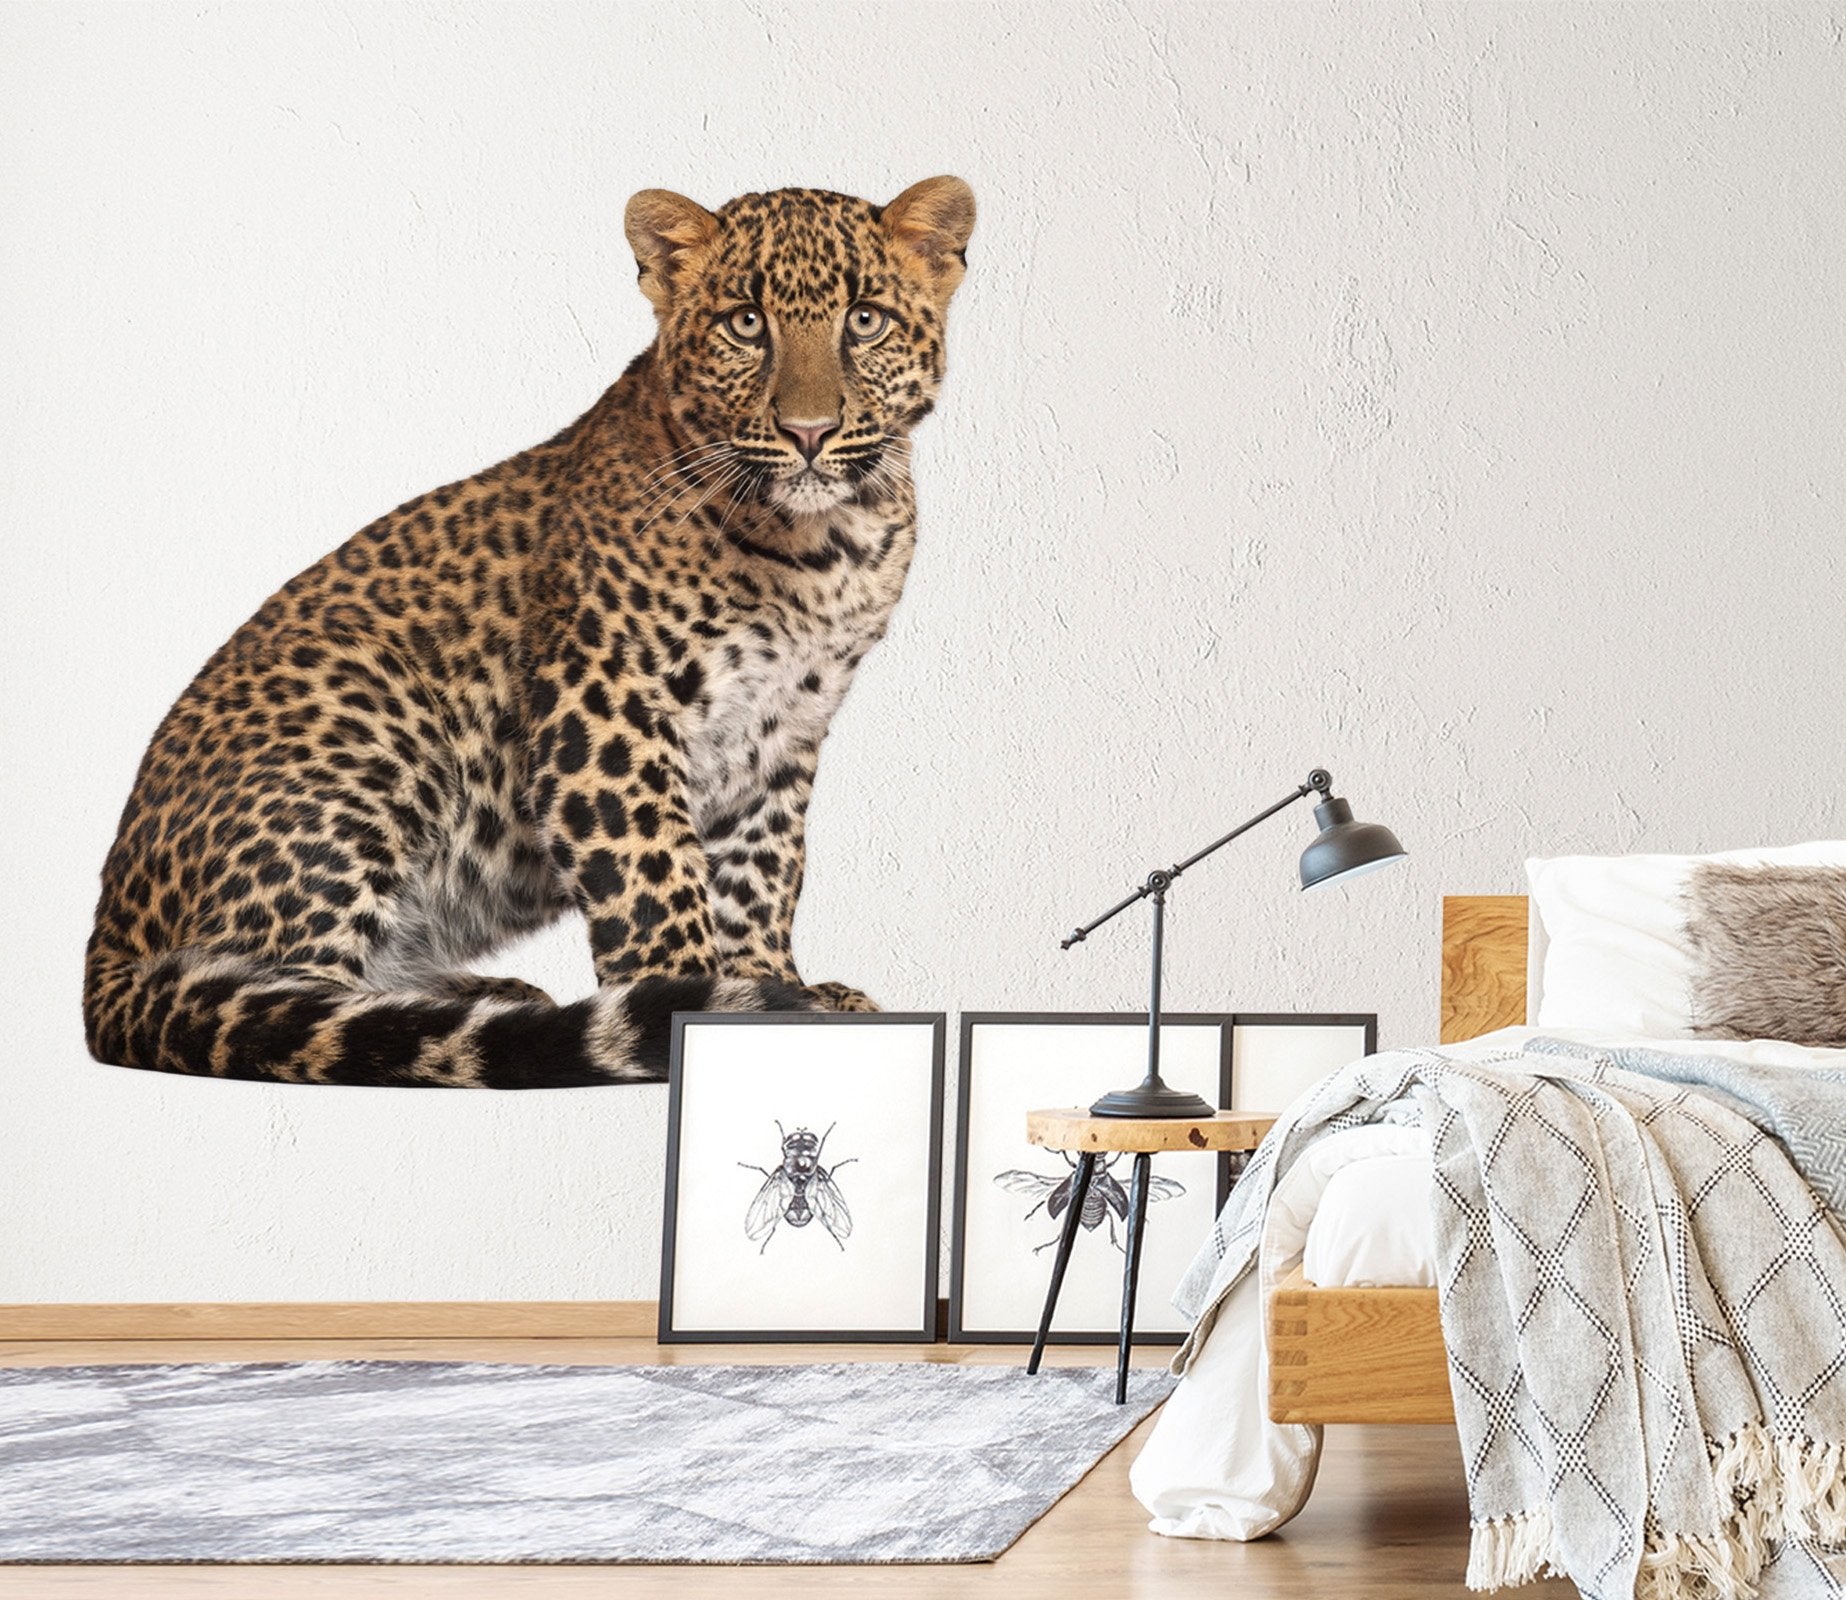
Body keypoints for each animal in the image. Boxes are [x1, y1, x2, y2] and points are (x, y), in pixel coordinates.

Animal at [82, 177, 975, 1088]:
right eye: (745, 323)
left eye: (864, 320)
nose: (809, 432)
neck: (824, 548)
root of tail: (105, 945)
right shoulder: (606, 703)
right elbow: (654, 869)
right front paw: (689, 1004)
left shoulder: (782, 729)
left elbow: (762, 870)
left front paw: (773, 989)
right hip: (372, 710)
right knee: (281, 1006)